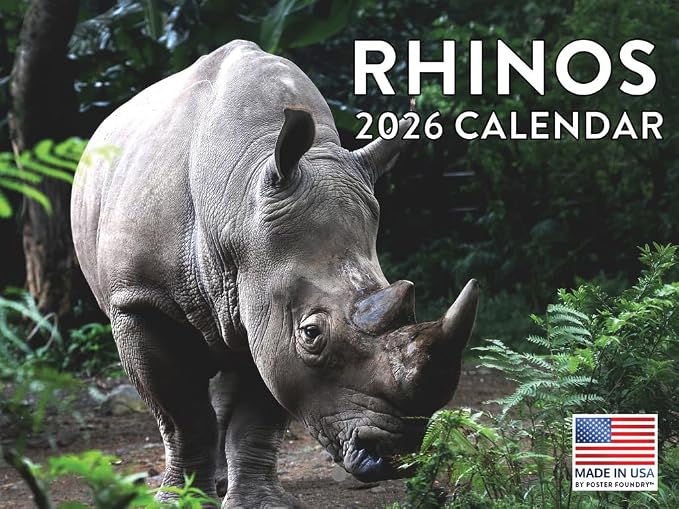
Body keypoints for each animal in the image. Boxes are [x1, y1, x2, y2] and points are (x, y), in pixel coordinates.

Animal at [71, 40, 479, 507]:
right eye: (311, 334)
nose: (396, 455)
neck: (238, 201)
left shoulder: (265, 300)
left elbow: (259, 413)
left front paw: (258, 503)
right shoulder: (139, 300)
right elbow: (181, 413)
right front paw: (182, 500)